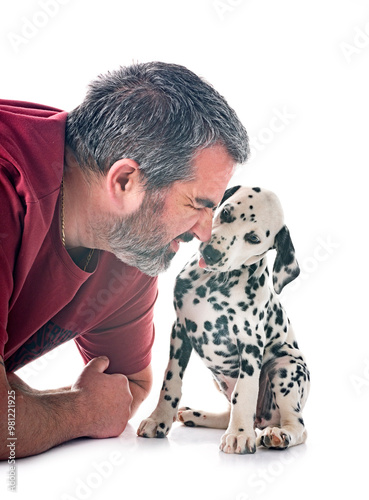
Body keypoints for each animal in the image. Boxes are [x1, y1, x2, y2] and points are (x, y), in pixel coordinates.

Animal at [137, 187, 310, 454]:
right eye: (226, 212)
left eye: (253, 238)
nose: (211, 253)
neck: (215, 283)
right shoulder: (180, 330)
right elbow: (171, 380)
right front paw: (159, 419)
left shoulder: (250, 344)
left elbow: (245, 391)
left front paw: (239, 434)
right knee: (229, 412)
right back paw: (197, 415)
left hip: (288, 368)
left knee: (298, 426)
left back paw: (277, 435)